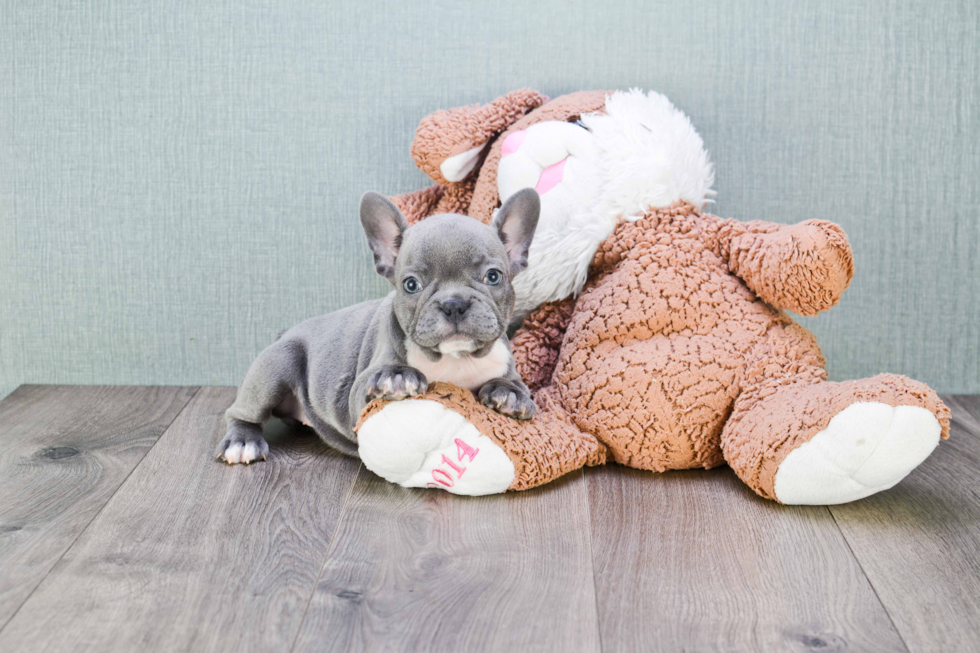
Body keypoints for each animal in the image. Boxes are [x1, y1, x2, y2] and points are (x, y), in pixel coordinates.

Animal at [216, 187, 544, 464]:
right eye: (411, 284)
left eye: (493, 276)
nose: (454, 303)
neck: (455, 360)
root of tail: (285, 333)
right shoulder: (358, 394)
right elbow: (377, 382)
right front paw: (397, 377)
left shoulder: (509, 369)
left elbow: (517, 387)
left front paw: (510, 395)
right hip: (275, 365)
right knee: (242, 412)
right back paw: (242, 442)